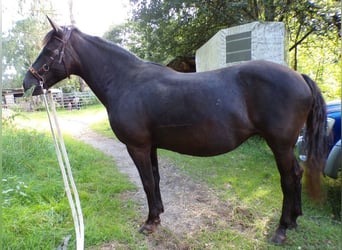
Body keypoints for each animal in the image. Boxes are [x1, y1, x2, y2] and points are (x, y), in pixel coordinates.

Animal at [22, 18, 328, 245]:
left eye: (50, 51)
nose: (28, 83)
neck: (125, 80)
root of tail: (299, 77)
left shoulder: (137, 147)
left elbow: (147, 182)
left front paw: (149, 223)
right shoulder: (151, 146)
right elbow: (155, 180)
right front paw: (157, 215)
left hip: (280, 144)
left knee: (288, 179)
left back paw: (282, 230)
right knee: (296, 175)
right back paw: (295, 219)